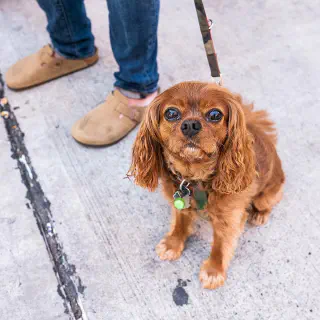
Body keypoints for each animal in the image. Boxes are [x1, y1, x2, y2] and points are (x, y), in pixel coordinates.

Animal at [127, 82, 284, 290]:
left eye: (215, 114)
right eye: (171, 113)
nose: (191, 125)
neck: (194, 178)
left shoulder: (228, 220)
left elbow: (220, 246)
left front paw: (213, 271)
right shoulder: (180, 203)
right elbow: (180, 223)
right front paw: (173, 244)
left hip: (266, 195)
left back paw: (260, 215)